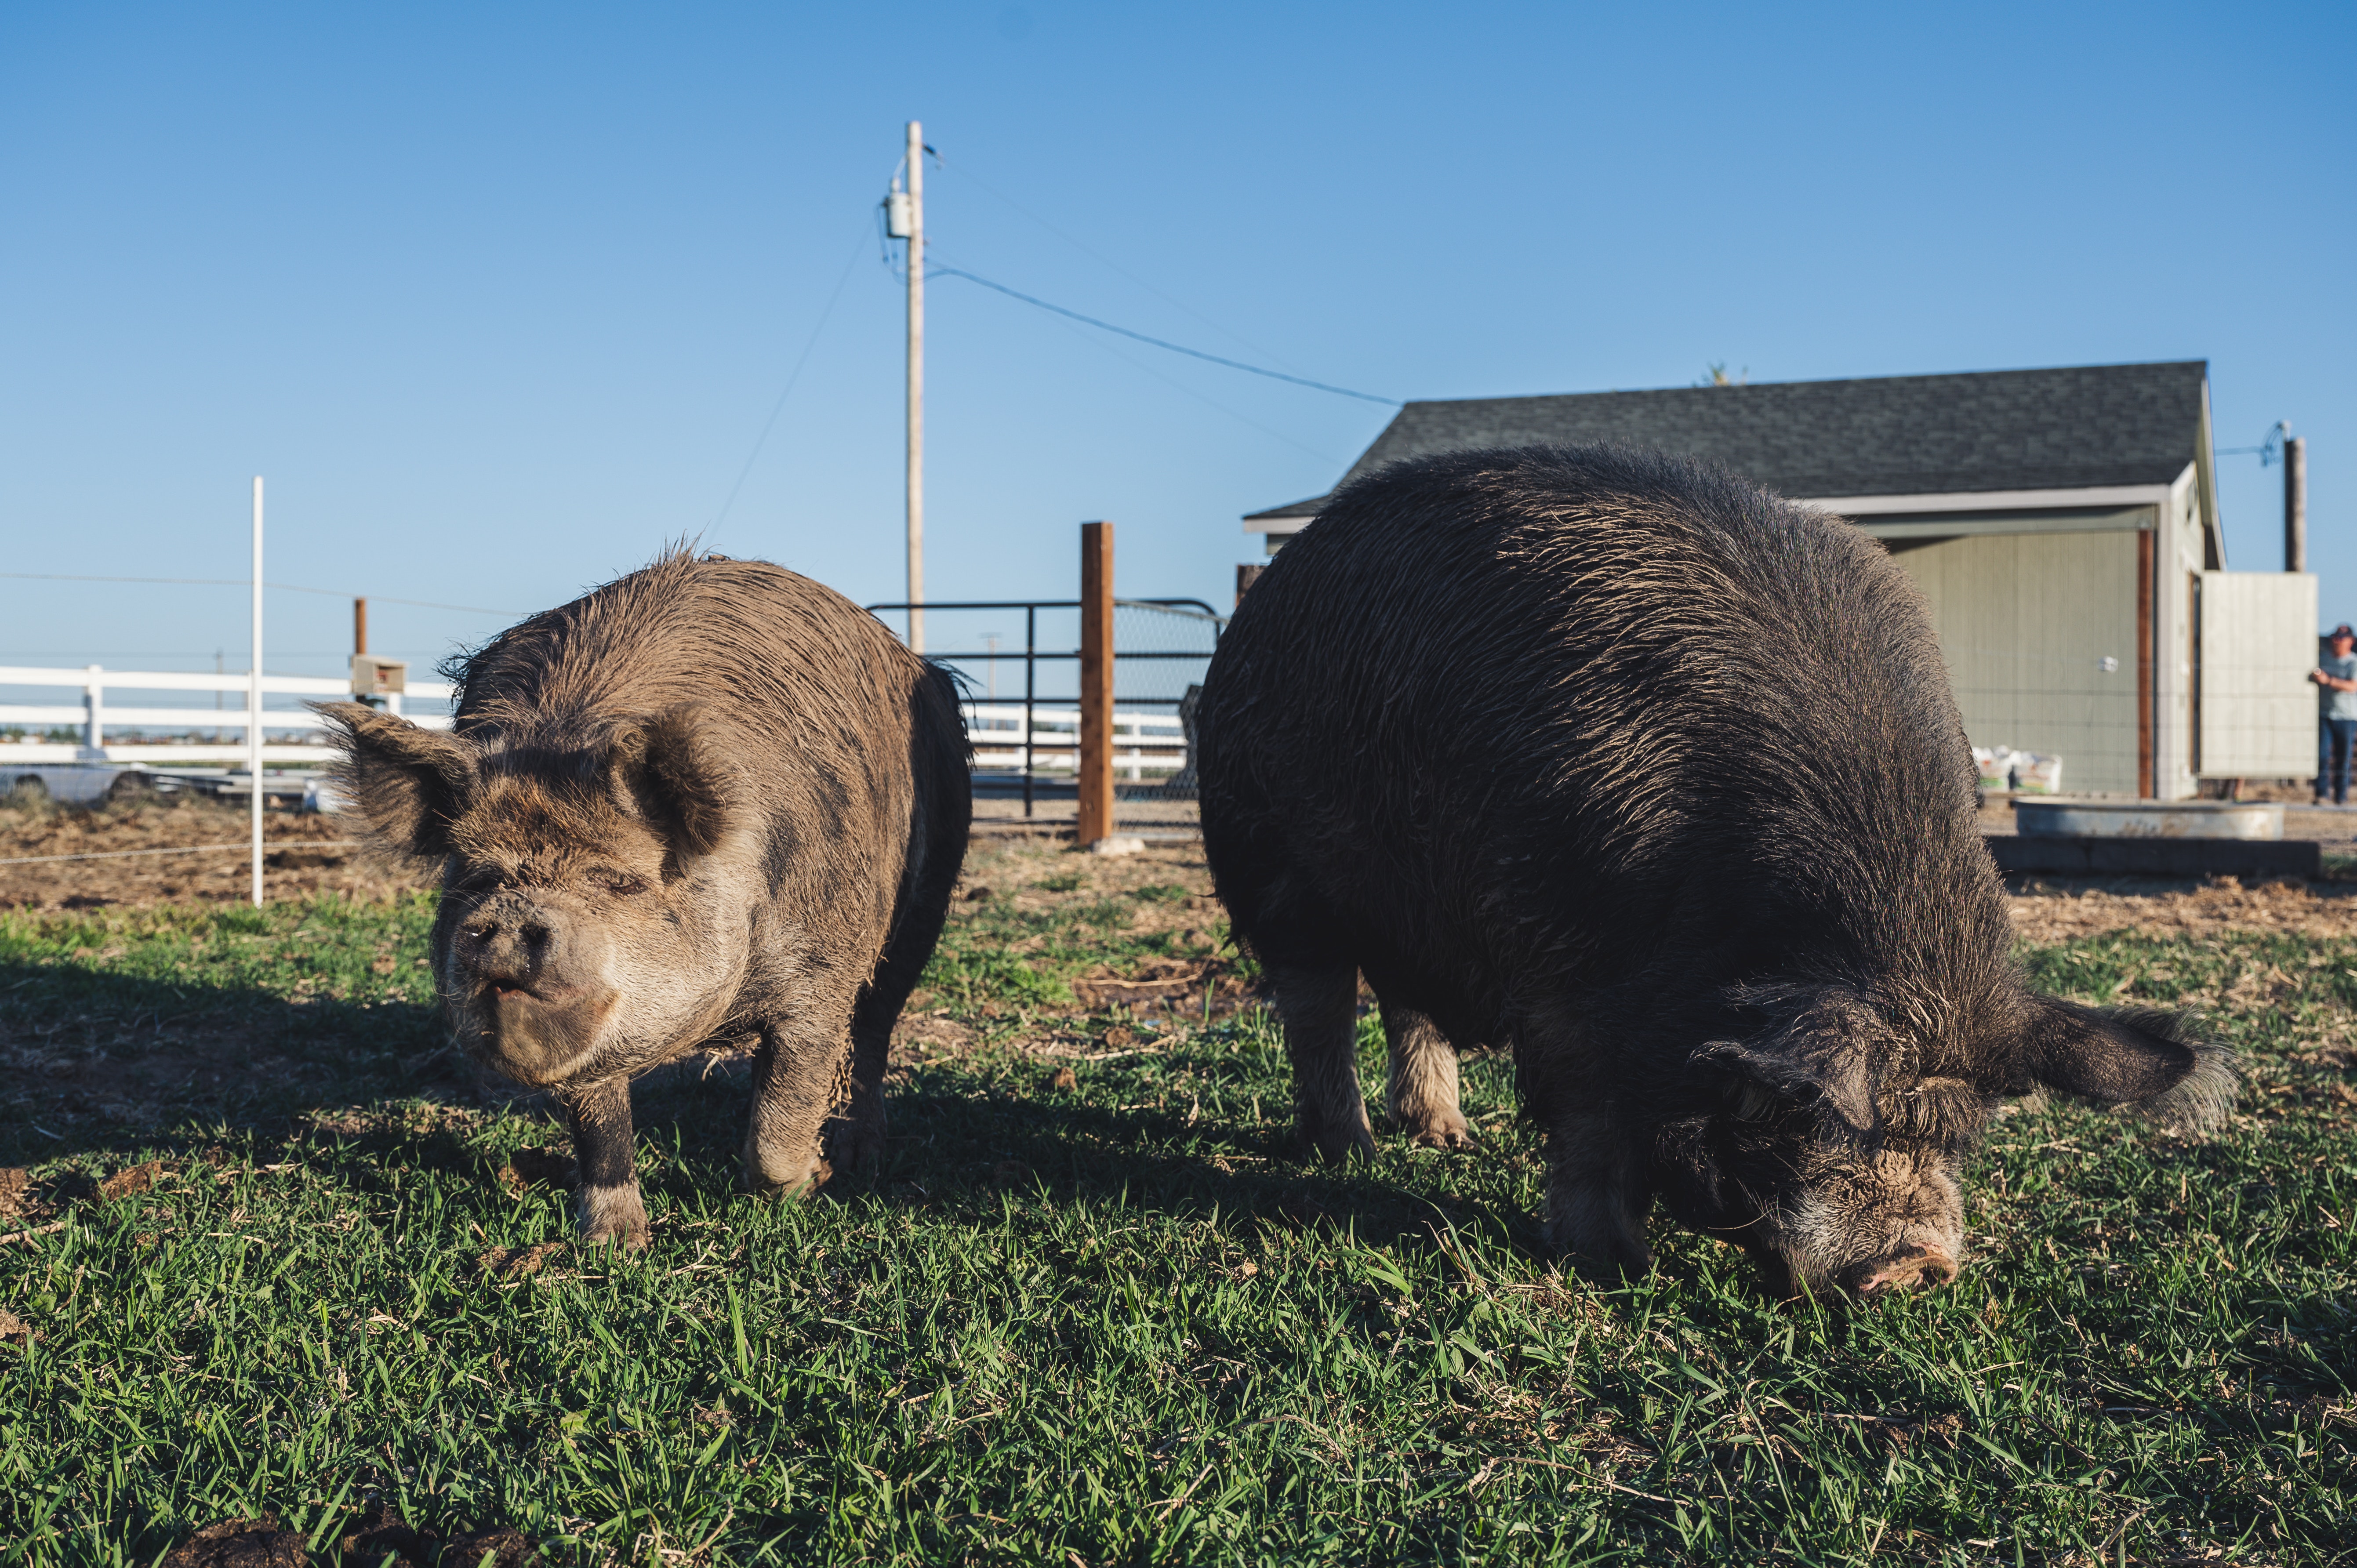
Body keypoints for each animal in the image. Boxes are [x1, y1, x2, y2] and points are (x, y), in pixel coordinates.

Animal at [322, 551, 969, 1249]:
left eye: (620, 881)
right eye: (479, 877)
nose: (514, 915)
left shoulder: (820, 976)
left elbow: (786, 1109)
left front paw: (811, 1182)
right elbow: (600, 1123)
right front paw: (615, 1243)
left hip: (930, 891)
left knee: (875, 1029)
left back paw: (861, 1157)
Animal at [1196, 446, 2231, 1298]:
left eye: (1954, 1132)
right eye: (1806, 1110)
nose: (1913, 1267)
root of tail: (1274, 583)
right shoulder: (1558, 960)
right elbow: (1589, 1116)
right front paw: (1610, 1262)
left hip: (1411, 905)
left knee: (1409, 1001)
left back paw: (1446, 1137)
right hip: (1271, 860)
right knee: (1319, 1004)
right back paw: (1350, 1153)